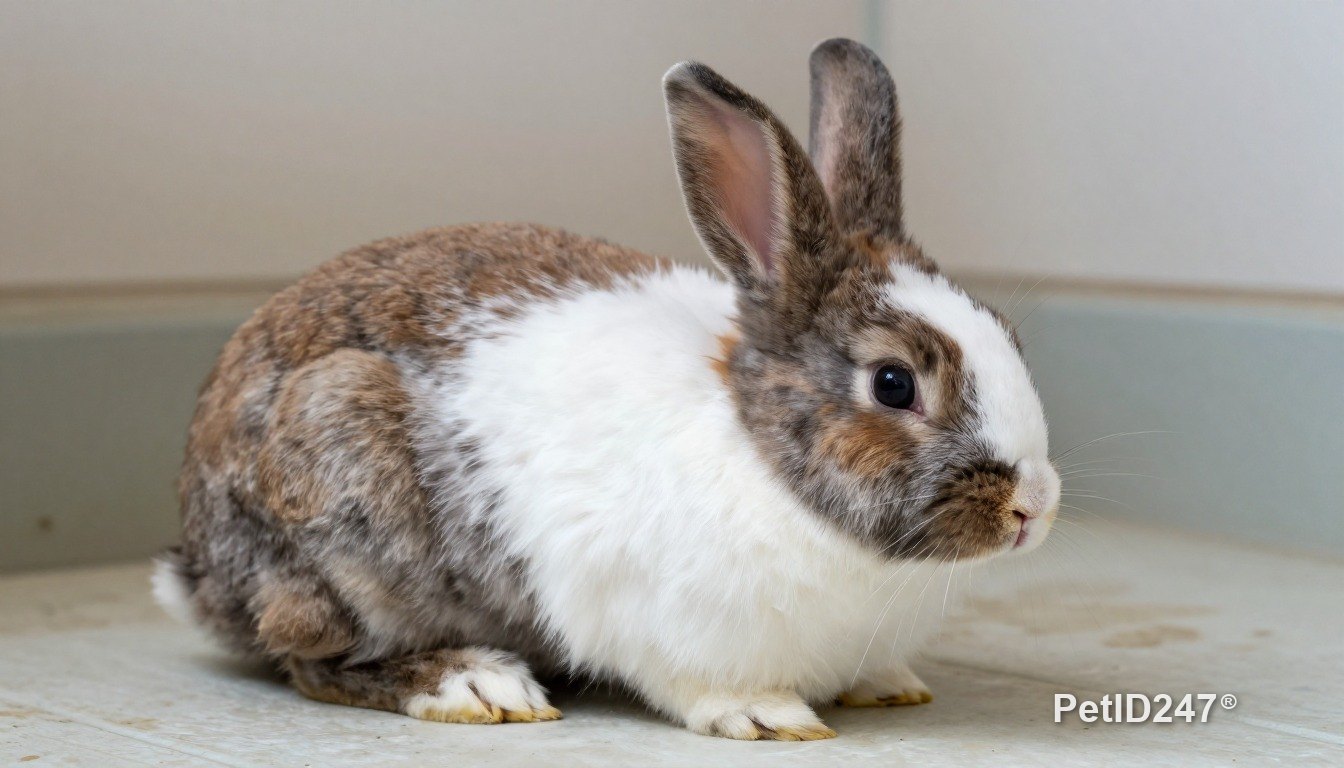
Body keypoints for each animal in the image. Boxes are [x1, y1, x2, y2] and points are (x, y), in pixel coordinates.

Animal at [153, 37, 1059, 741]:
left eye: (1008, 337)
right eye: (894, 384)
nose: (1032, 508)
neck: (761, 453)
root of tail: (198, 571)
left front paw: (885, 684)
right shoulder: (654, 617)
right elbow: (697, 682)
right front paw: (767, 716)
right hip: (340, 491)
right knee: (311, 659)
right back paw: (475, 683)